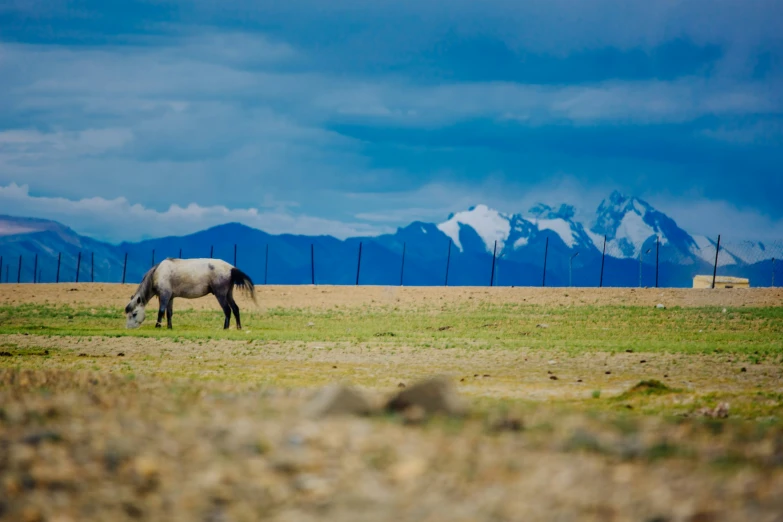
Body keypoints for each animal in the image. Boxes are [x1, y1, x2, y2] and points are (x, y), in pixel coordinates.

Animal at [123, 256, 258, 330]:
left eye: (134, 314)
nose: (129, 328)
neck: (158, 272)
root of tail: (231, 268)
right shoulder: (170, 297)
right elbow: (169, 313)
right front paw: (169, 327)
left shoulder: (164, 295)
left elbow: (161, 312)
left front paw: (158, 326)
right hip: (228, 294)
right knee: (235, 309)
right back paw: (238, 327)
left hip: (221, 295)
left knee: (227, 310)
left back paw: (225, 328)